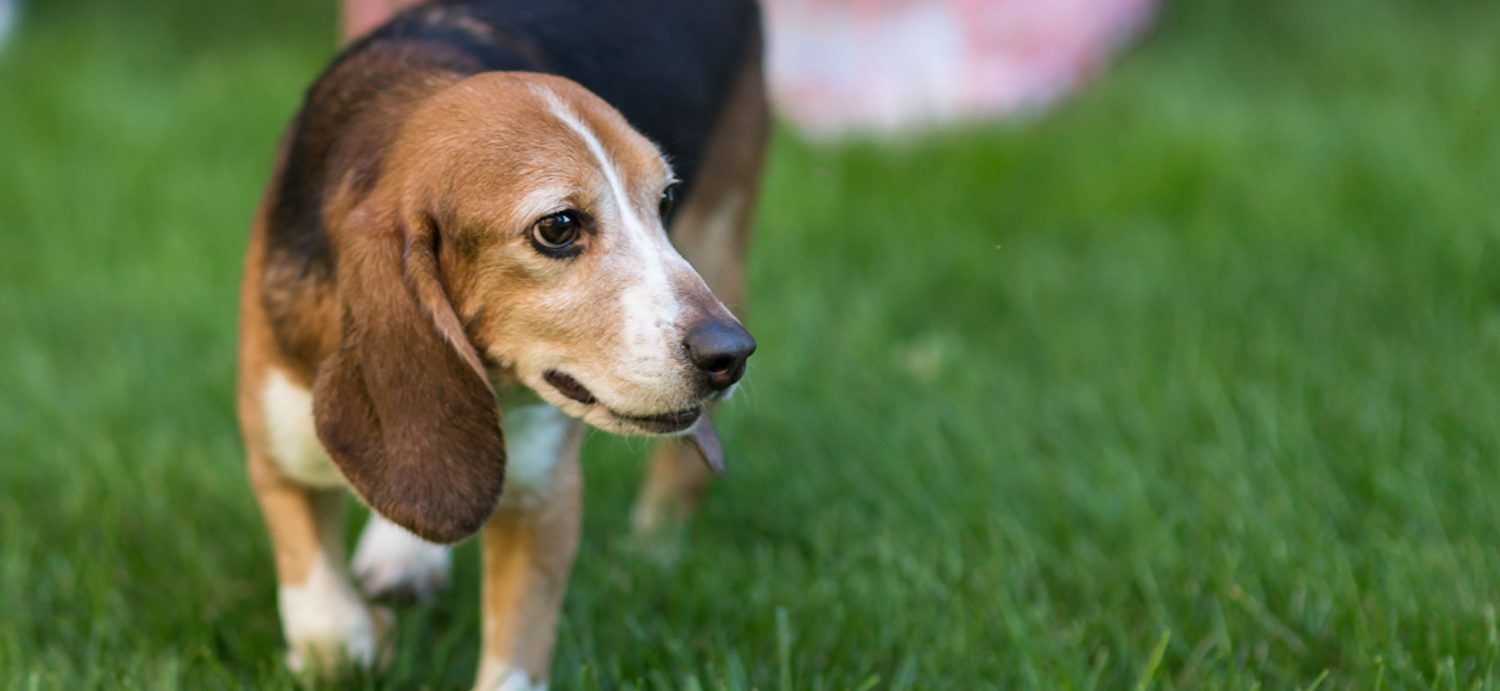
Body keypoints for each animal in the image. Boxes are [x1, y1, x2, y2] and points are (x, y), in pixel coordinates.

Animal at [238, 2, 768, 686]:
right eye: (558, 227)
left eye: (665, 199)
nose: (731, 354)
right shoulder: (275, 446)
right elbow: (326, 627)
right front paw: (361, 637)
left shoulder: (545, 498)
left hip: (722, 239)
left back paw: (652, 549)